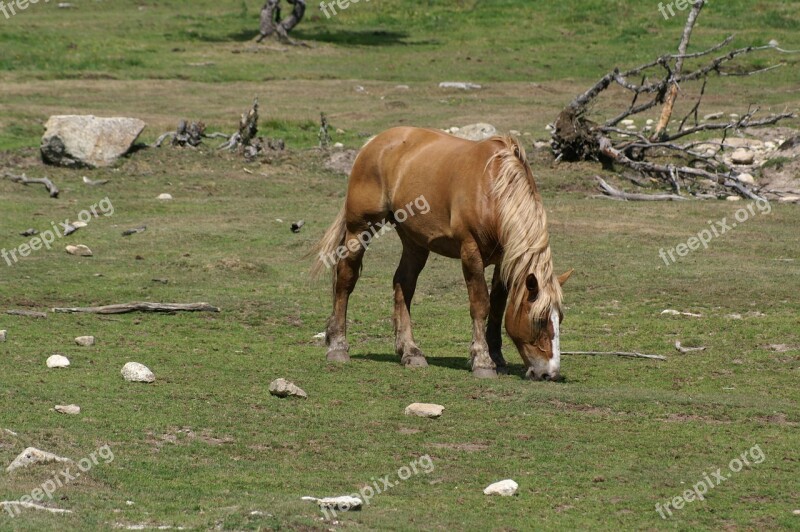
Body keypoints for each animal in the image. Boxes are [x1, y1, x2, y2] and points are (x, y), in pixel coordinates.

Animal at [310, 127, 572, 380]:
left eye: (559, 319)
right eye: (539, 321)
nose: (550, 373)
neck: (492, 188)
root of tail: (373, 144)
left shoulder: (504, 258)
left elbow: (498, 305)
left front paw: (497, 357)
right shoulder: (470, 251)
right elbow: (481, 304)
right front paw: (482, 361)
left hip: (414, 242)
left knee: (403, 285)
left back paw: (410, 352)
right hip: (360, 229)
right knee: (345, 280)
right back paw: (338, 347)